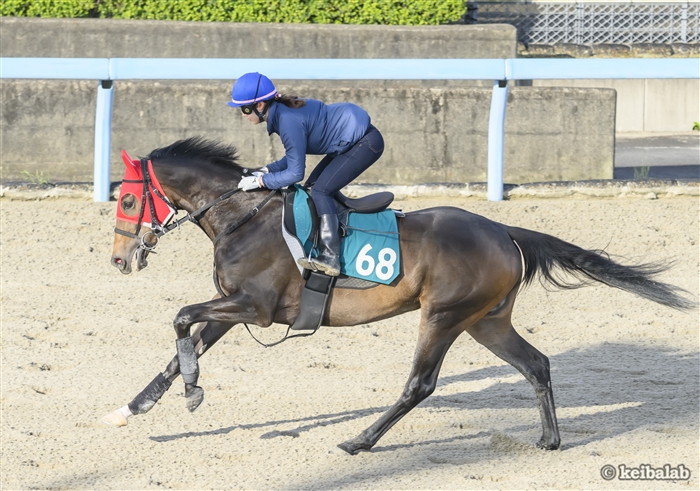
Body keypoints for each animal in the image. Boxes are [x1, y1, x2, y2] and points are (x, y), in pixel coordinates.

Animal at [104, 136, 696, 456]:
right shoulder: (232, 308)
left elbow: (181, 318)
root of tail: (503, 230)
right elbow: (184, 344)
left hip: (444, 316)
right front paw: (136, 406)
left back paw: (360, 441)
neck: (242, 216)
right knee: (537, 364)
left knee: (420, 384)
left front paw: (191, 393)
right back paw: (549, 439)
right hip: (487, 321)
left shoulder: (259, 309)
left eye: (129, 200)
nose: (119, 260)